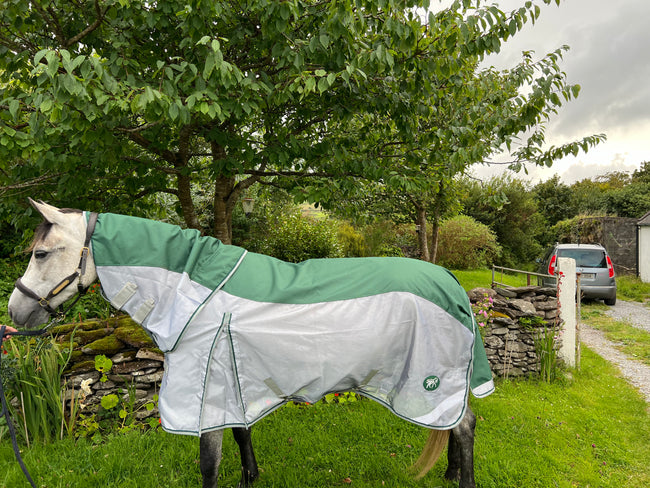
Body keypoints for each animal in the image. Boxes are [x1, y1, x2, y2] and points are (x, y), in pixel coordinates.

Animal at [7, 199, 492, 488]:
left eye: (41, 254)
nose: (15, 312)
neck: (190, 295)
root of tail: (449, 279)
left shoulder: (204, 394)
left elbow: (209, 462)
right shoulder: (230, 382)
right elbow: (242, 435)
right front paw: (250, 477)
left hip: (431, 375)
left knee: (465, 425)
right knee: (453, 422)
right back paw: (450, 473)